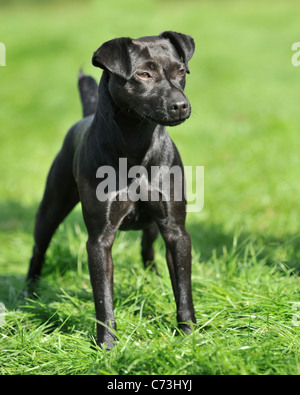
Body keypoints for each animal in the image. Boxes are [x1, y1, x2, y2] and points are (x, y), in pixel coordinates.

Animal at [27, 31, 197, 350]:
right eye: (143, 74)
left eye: (181, 71)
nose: (181, 105)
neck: (135, 149)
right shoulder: (99, 240)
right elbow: (103, 297)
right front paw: (107, 344)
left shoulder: (176, 230)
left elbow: (183, 288)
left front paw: (189, 334)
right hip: (51, 208)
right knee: (38, 249)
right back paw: (29, 294)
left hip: (153, 225)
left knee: (147, 247)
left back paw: (153, 279)